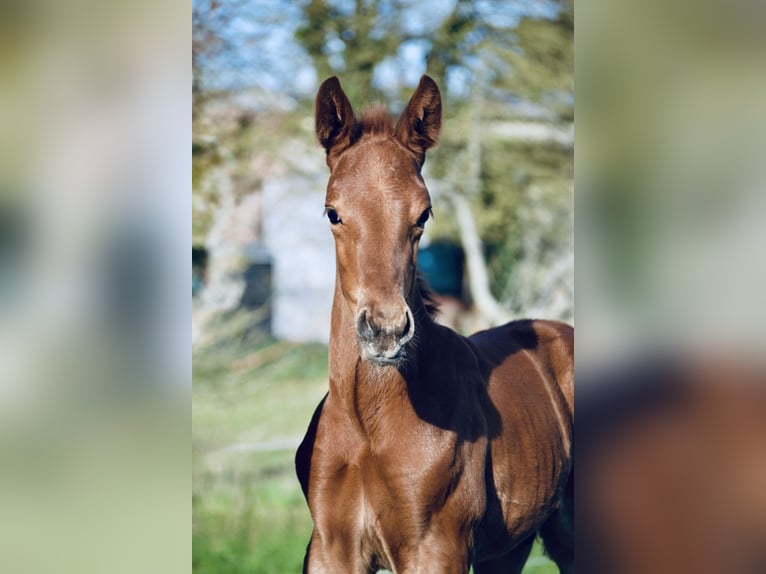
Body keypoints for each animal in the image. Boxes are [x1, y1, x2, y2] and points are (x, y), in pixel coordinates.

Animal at [295, 75, 574, 574]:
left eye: (423, 214)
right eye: (333, 212)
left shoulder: (437, 549)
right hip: (512, 545)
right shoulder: (330, 549)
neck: (367, 424)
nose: (385, 330)